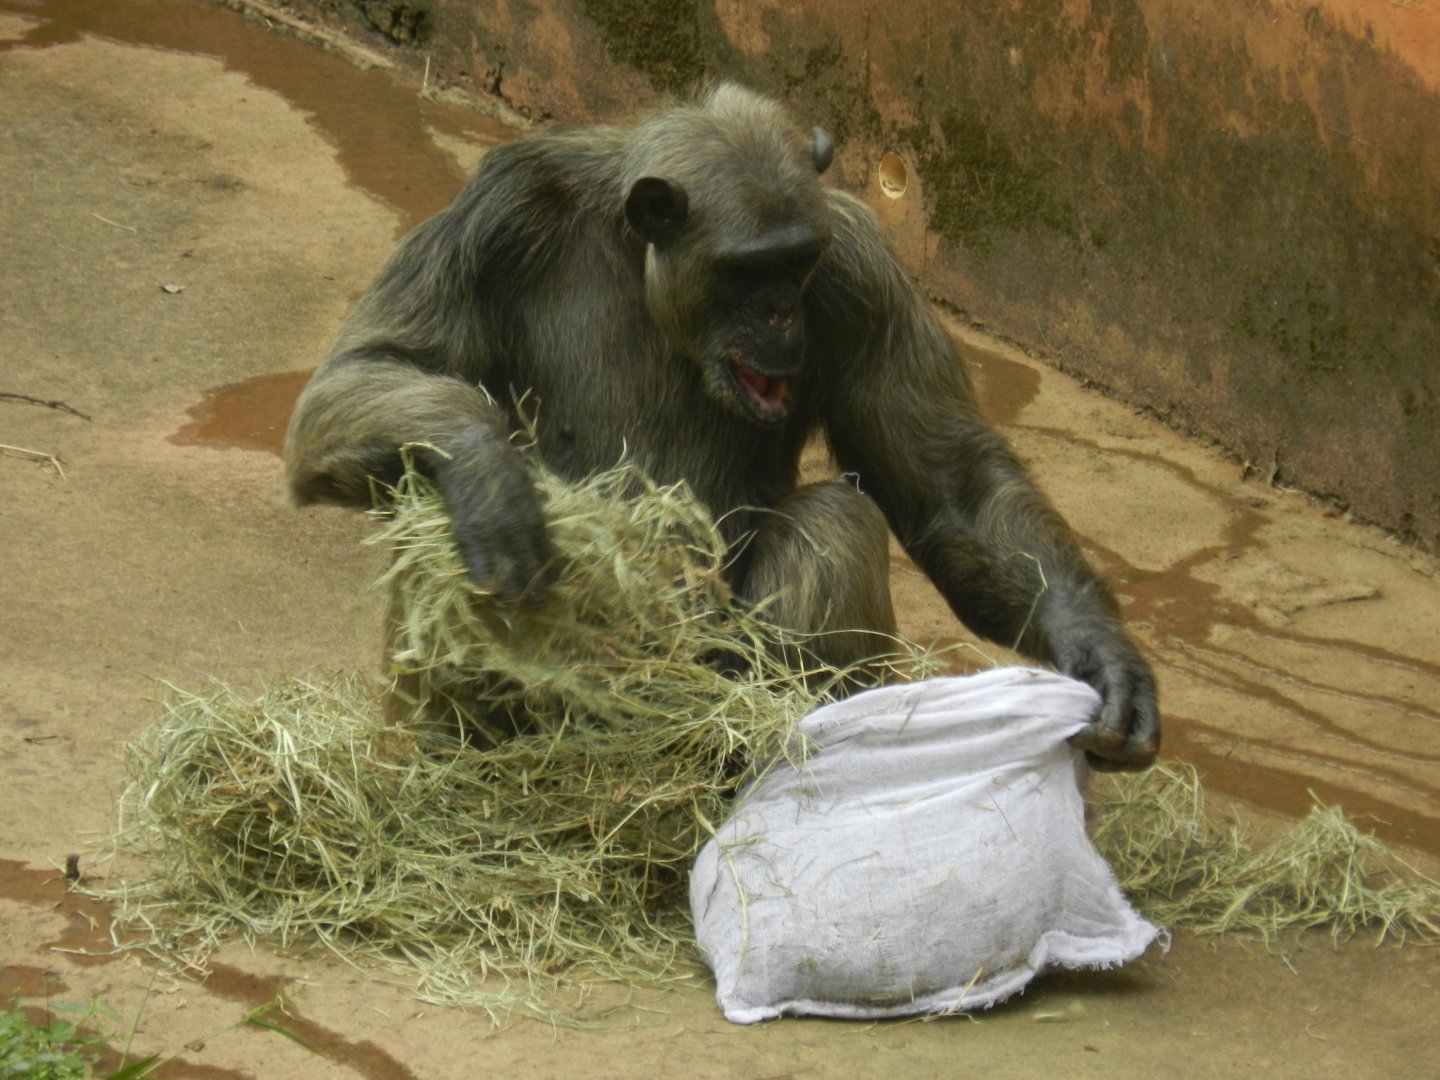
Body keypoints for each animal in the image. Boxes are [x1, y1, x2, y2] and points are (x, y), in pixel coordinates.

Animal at [283, 83, 1160, 770]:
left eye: (798, 260)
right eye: (748, 267)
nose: (779, 312)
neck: (637, 257)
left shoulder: (861, 267)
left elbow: (950, 486)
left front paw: (1102, 656)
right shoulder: (495, 216)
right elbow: (369, 367)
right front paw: (489, 478)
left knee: (837, 518)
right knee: (429, 500)